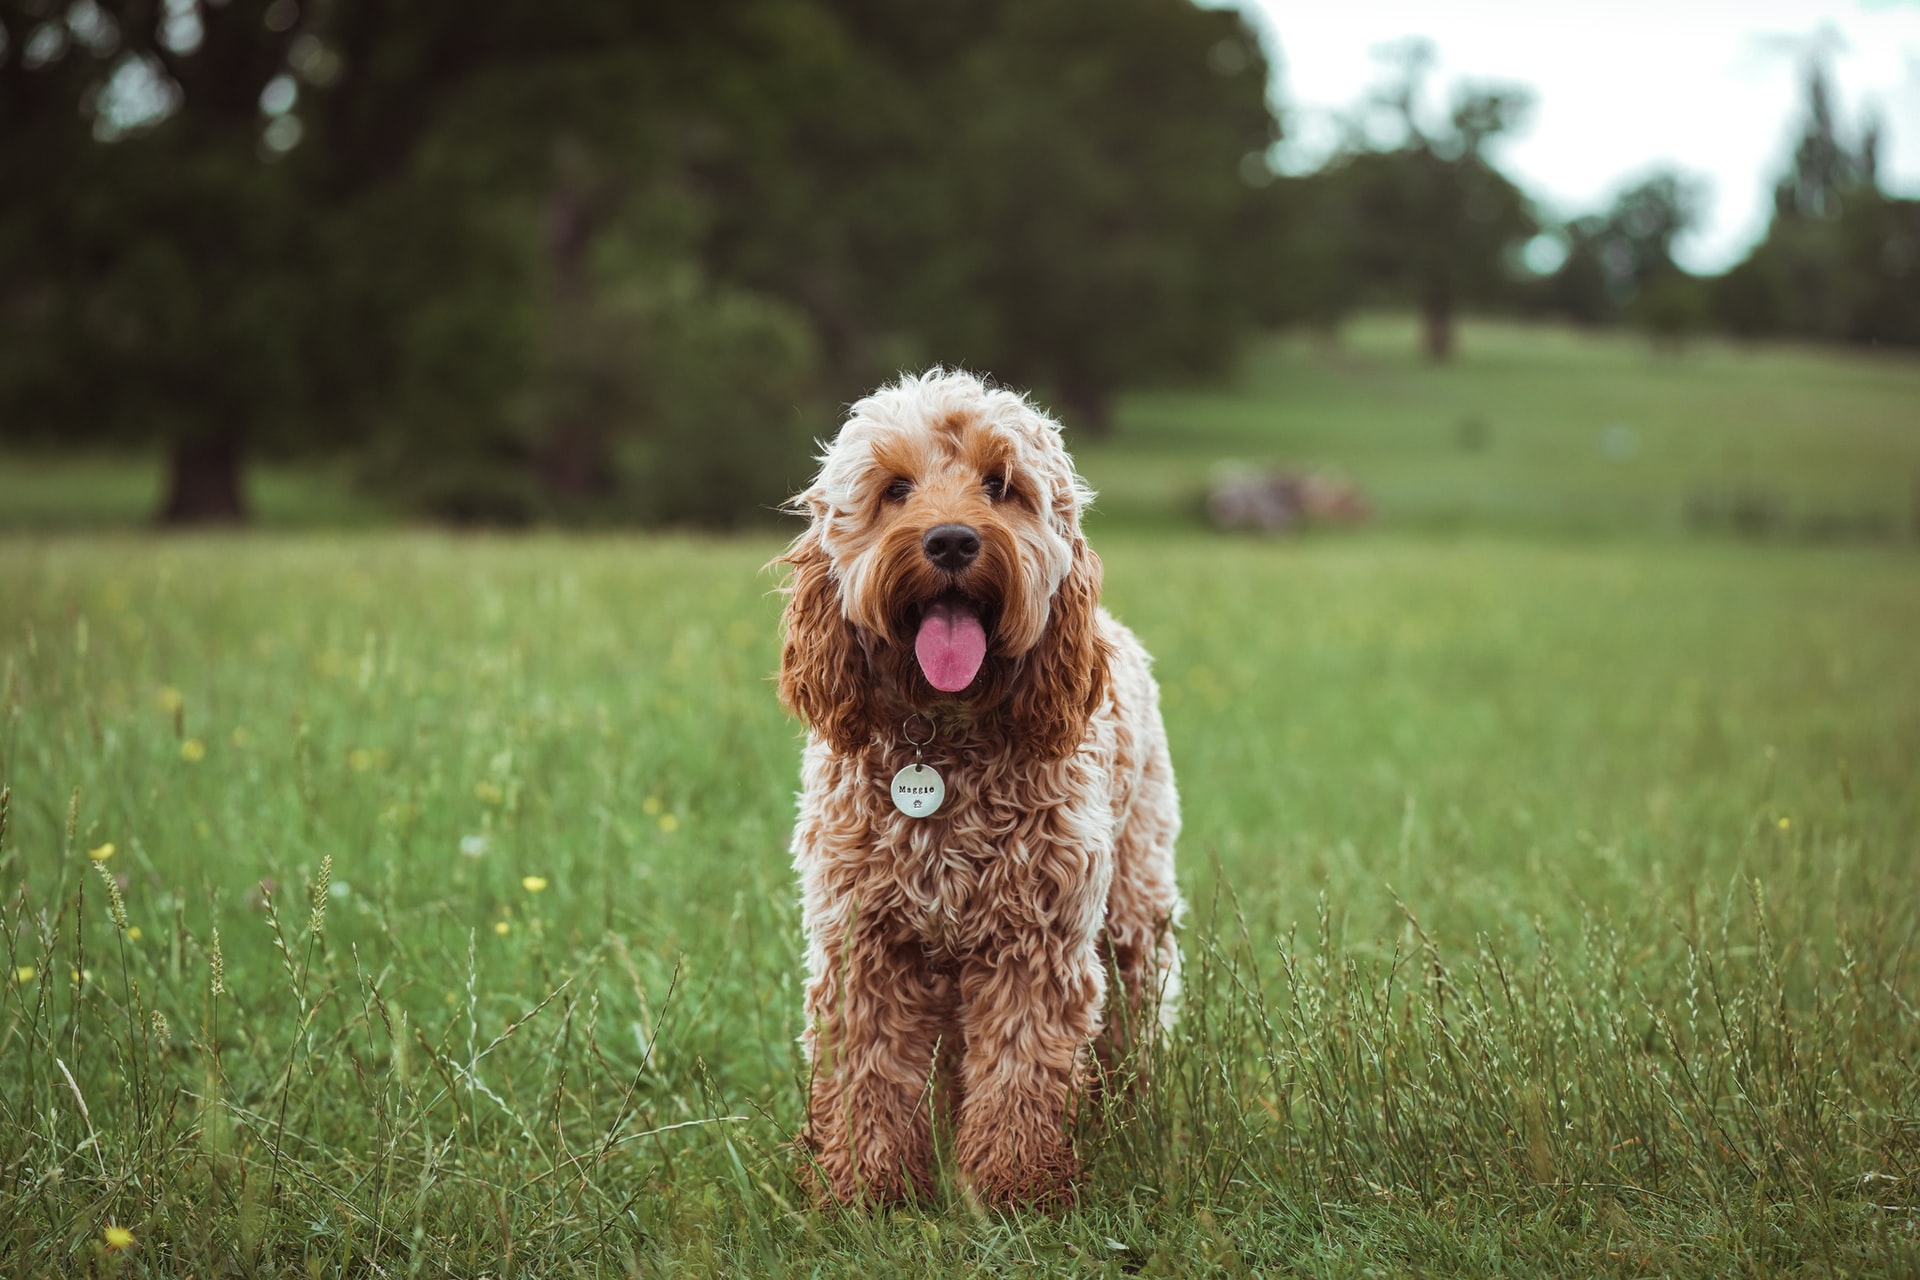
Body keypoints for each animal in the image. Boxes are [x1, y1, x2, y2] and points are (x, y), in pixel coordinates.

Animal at [771, 364, 1175, 1205]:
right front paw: (863, 1190)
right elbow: (863, 1073)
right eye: (896, 489)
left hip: (1133, 906)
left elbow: (1021, 1069)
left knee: (1133, 1015)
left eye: (1001, 485)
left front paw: (1012, 1190)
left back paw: (1123, 1119)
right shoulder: (866, 943)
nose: (952, 540)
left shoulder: (1036, 941)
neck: (943, 737)